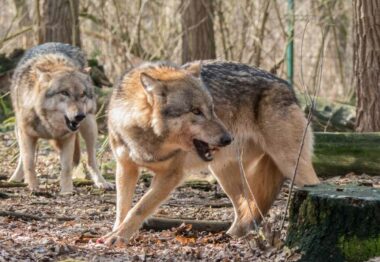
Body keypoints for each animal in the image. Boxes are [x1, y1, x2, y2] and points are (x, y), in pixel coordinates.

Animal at [8, 42, 113, 192]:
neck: (48, 123)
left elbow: (67, 167)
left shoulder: (68, 137)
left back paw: (101, 182)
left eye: (82, 94)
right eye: (64, 93)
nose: (80, 116)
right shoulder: (27, 134)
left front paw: (67, 191)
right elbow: (29, 163)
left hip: (90, 127)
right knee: (22, 157)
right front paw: (33, 188)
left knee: (91, 159)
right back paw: (15, 179)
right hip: (18, 131)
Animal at [101, 60, 320, 245]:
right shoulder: (125, 168)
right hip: (225, 174)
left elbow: (139, 208)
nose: (228, 139)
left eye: (212, 108)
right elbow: (122, 208)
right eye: (196, 111)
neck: (147, 136)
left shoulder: (171, 175)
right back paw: (230, 238)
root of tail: (287, 86)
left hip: (292, 166)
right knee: (246, 209)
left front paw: (118, 237)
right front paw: (116, 232)